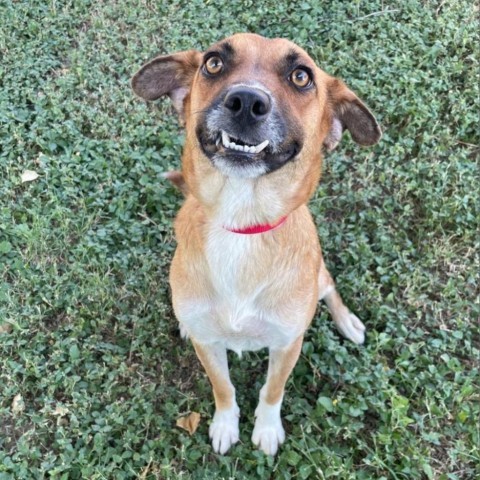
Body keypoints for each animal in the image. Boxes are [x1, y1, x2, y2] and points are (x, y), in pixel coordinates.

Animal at [130, 32, 378, 454]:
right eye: (213, 63)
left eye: (301, 76)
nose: (246, 102)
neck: (242, 225)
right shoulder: (209, 346)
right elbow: (223, 387)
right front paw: (226, 424)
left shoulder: (287, 345)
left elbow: (272, 390)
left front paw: (266, 429)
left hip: (318, 275)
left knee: (329, 287)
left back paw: (348, 322)